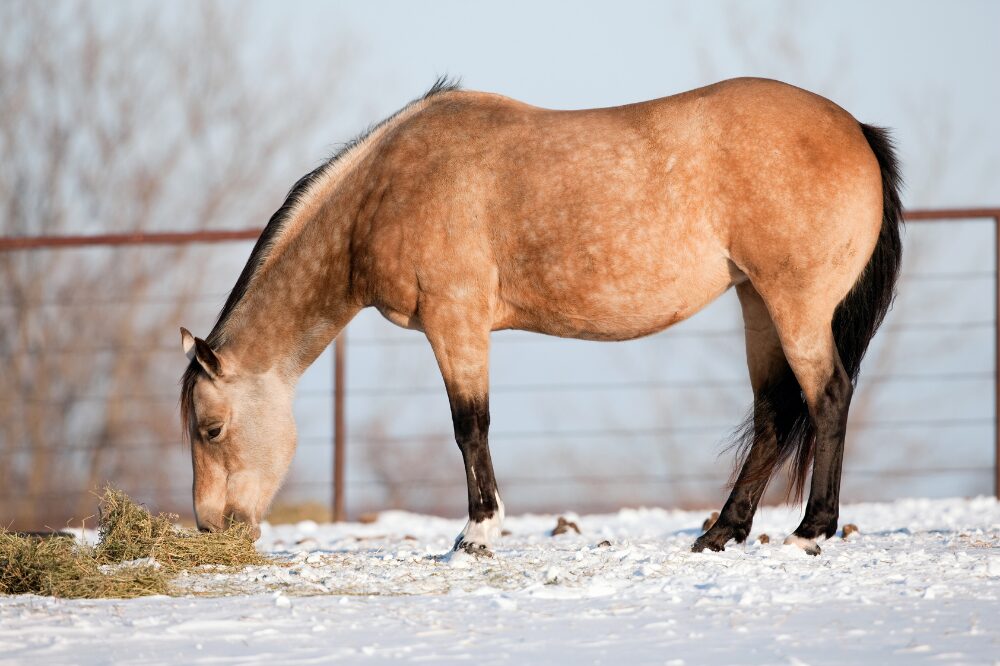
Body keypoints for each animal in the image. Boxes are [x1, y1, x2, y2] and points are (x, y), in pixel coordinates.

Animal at [180, 77, 902, 557]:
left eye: (211, 429)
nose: (213, 526)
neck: (390, 187)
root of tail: (856, 129)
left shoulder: (456, 321)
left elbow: (470, 427)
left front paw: (476, 533)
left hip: (794, 303)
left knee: (827, 395)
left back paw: (810, 529)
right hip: (757, 302)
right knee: (776, 415)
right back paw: (723, 531)